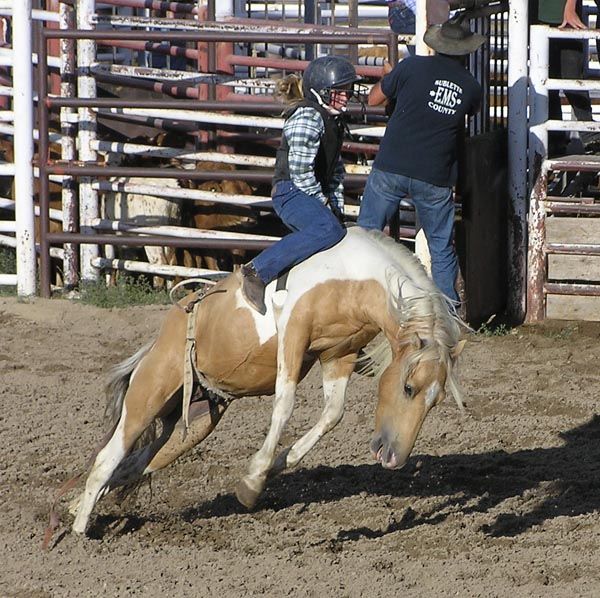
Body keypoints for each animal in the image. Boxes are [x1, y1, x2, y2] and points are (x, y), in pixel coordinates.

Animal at [68, 227, 466, 536]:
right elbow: (285, 403)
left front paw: (273, 468)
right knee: (107, 458)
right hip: (149, 392)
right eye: (408, 388)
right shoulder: (293, 333)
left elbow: (332, 414)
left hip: (193, 420)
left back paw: (73, 507)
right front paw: (254, 480)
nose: (394, 458)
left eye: (435, 402)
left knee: (135, 464)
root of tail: (170, 326)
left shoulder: (340, 353)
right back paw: (79, 528)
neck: (355, 275)